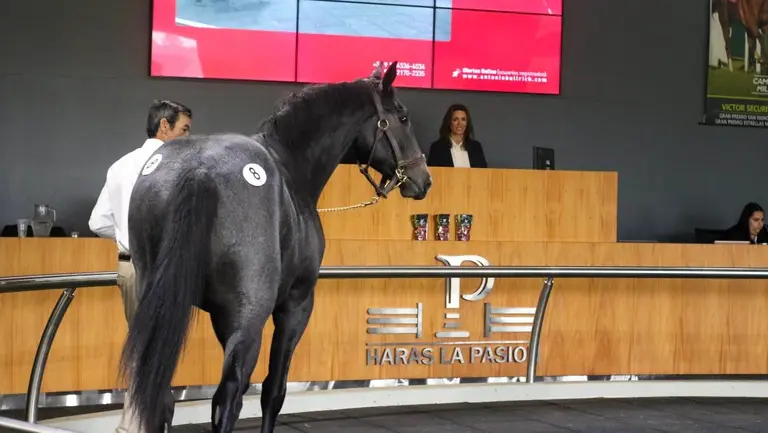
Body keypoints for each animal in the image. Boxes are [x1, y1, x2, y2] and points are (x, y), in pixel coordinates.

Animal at [118, 61, 432, 433]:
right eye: (402, 116)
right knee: (228, 398)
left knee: (161, 398)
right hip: (248, 318)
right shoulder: (295, 306)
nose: (424, 179)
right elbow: (273, 389)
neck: (289, 164)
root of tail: (199, 170)